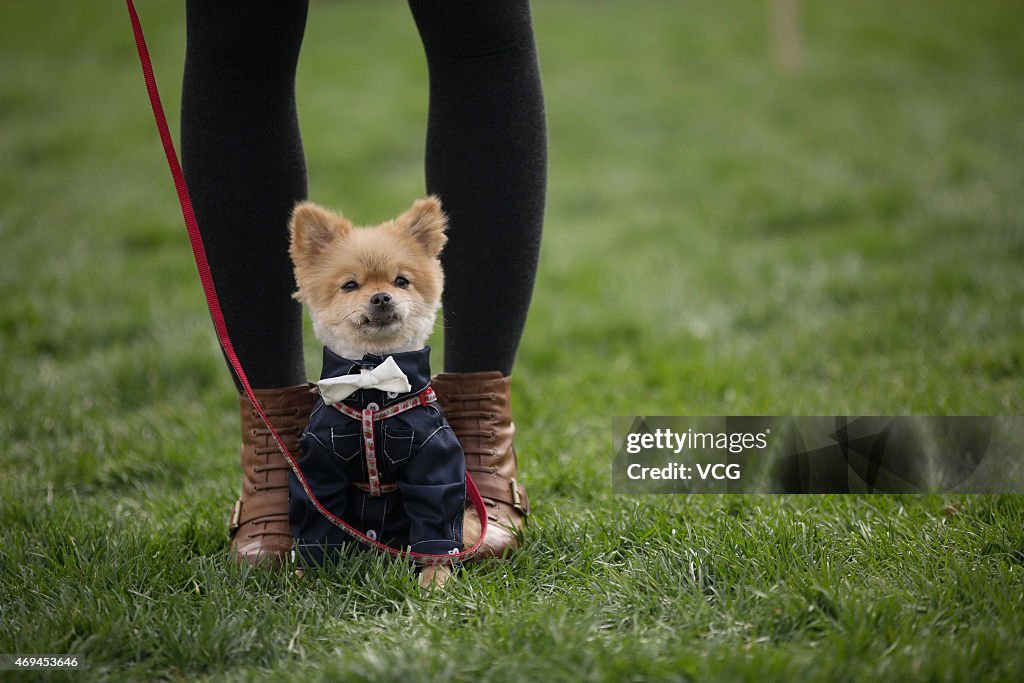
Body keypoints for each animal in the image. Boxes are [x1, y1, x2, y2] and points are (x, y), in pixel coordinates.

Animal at [288, 197, 479, 589]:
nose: (381, 296)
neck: (372, 378)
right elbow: (315, 519)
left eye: (401, 280)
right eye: (349, 285)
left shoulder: (434, 461)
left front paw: (435, 579)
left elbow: (435, 523)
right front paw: (307, 573)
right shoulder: (316, 466)